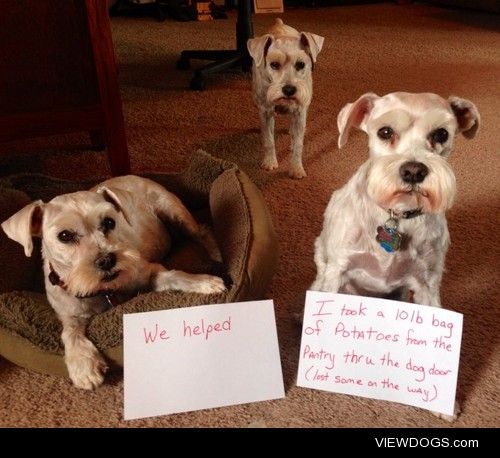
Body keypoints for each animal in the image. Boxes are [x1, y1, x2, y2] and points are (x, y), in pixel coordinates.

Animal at [2, 175, 226, 390]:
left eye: (109, 222)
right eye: (64, 235)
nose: (107, 261)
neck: (104, 290)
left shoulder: (146, 272)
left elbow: (174, 275)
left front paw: (203, 282)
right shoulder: (68, 311)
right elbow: (70, 331)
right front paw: (83, 365)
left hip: (173, 210)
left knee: (202, 231)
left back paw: (216, 253)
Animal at [247, 18, 324, 179]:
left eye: (301, 64)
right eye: (274, 64)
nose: (289, 90)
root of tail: (279, 23)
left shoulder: (300, 112)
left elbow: (298, 144)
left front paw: (296, 168)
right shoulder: (265, 113)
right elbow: (269, 139)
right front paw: (270, 162)